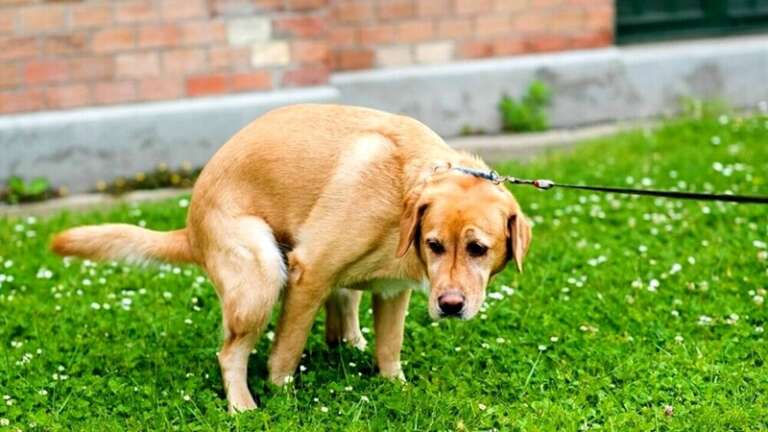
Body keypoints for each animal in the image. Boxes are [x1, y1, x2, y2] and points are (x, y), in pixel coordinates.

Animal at [51, 104, 532, 412]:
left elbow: (390, 348)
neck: (404, 190)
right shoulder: (309, 272)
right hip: (261, 274)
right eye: (434, 245)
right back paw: (243, 406)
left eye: (478, 249)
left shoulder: (393, 292)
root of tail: (191, 229)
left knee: (343, 314)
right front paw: (282, 396)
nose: (450, 306)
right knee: (230, 353)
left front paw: (396, 386)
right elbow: (285, 351)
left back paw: (349, 343)